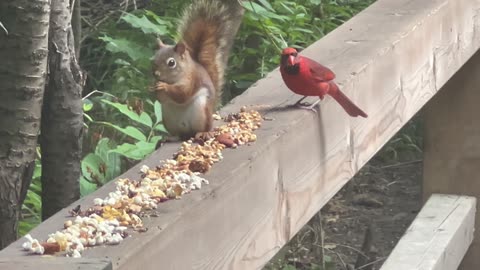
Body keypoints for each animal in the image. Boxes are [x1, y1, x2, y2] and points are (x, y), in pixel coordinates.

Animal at [150, 0, 244, 141]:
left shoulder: (192, 79)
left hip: (202, 111)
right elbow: (162, 99)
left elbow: (182, 94)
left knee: (202, 128)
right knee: (178, 134)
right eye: (154, 59)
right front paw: (153, 87)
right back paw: (170, 137)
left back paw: (203, 133)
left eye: (171, 63)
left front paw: (163, 86)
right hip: (168, 118)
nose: (156, 74)